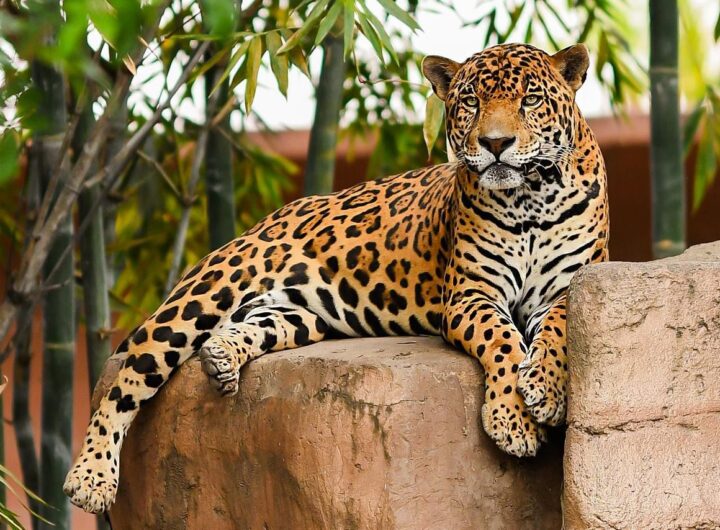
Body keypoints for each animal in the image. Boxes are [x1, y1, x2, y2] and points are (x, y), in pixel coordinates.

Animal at [64, 42, 608, 513]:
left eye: (530, 100)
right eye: (470, 102)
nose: (496, 144)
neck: (530, 197)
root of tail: (267, 218)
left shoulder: (569, 286)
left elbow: (558, 328)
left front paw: (546, 390)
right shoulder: (470, 295)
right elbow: (502, 340)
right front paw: (513, 419)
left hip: (302, 315)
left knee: (248, 327)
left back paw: (222, 358)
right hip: (206, 293)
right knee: (124, 379)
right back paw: (90, 478)